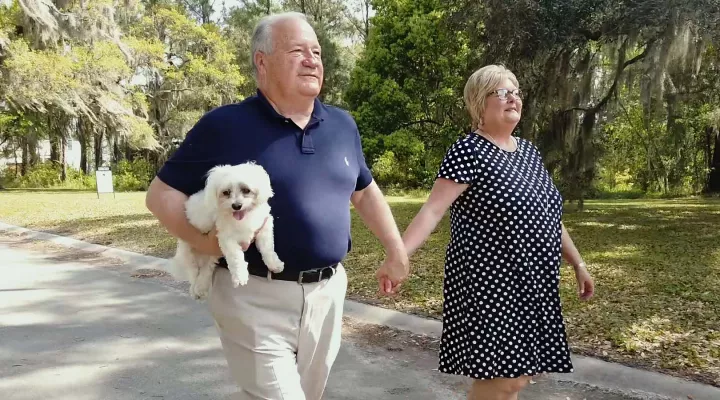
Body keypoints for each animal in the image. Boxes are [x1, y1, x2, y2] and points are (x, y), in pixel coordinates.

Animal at [166, 161, 284, 298]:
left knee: (206, 270)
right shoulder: (226, 237)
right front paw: (240, 276)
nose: (236, 205)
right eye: (226, 192)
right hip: (189, 253)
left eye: (246, 190)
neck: (244, 218)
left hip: (211, 256)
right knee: (193, 273)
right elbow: (236, 257)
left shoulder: (264, 225)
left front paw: (274, 264)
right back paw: (195, 290)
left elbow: (267, 248)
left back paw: (201, 287)